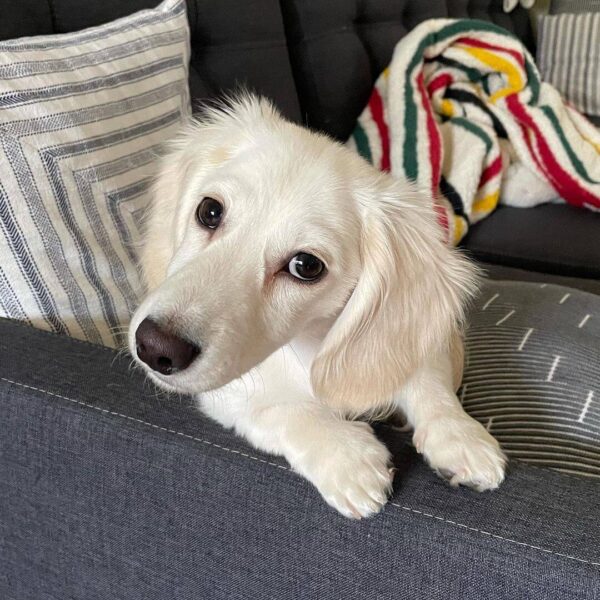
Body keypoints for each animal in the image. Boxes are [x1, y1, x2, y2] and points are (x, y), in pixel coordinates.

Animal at [129, 95, 504, 520]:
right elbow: (280, 411)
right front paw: (347, 457)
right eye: (209, 211)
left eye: (306, 266)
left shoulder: (427, 348)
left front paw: (459, 436)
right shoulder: (227, 394)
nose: (155, 347)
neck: (307, 345)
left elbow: (428, 383)